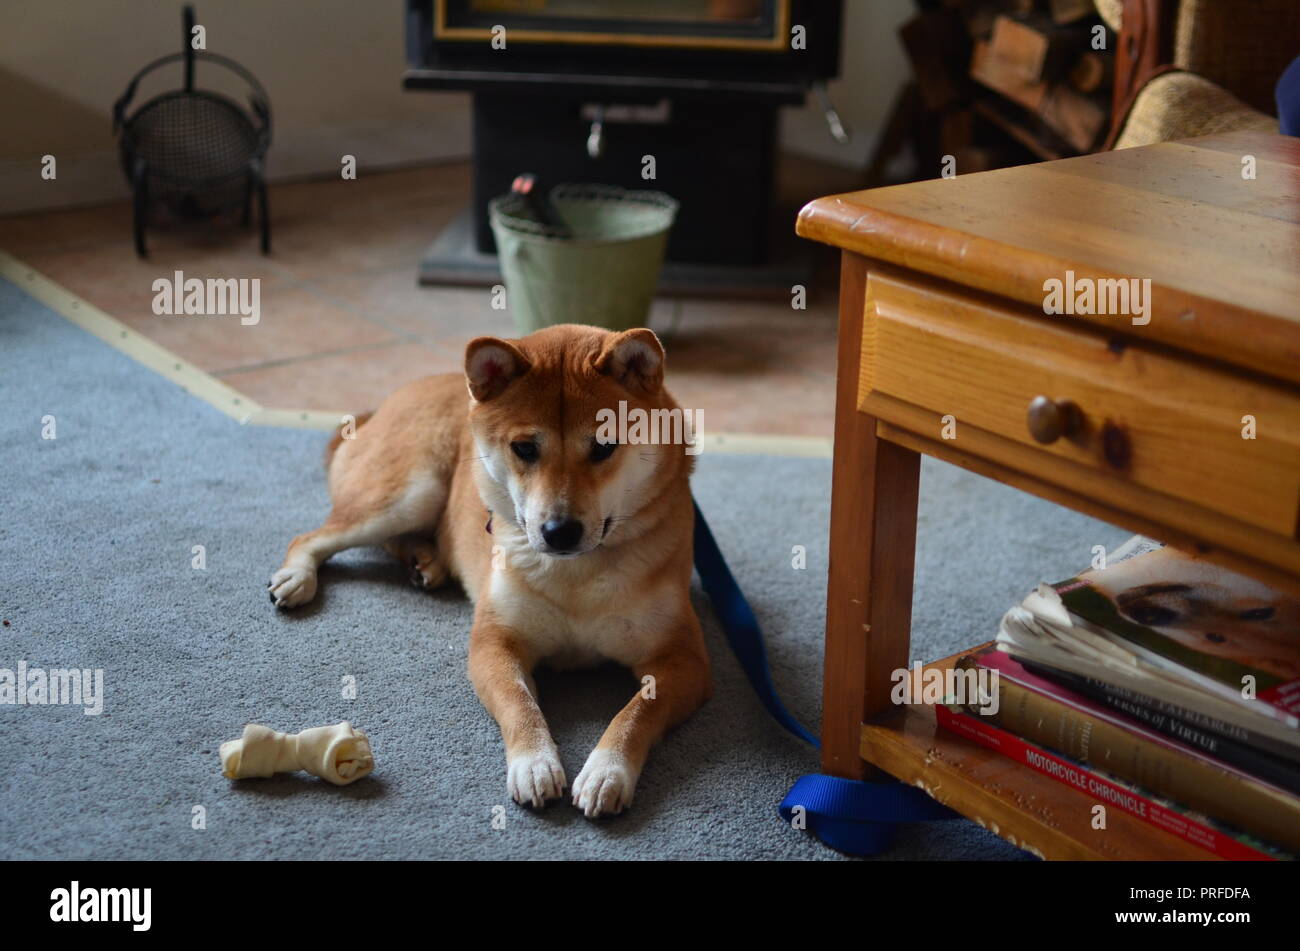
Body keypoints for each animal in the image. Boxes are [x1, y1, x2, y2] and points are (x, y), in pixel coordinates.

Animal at [267, 323, 707, 815]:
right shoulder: (495, 643)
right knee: (313, 538)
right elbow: (519, 703)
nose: (559, 532)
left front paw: (607, 771)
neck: (575, 577)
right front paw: (534, 763)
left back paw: (425, 561)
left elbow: (638, 712)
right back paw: (299, 576)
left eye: (605, 446)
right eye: (524, 448)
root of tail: (387, 403)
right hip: (409, 494)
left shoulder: (682, 660)